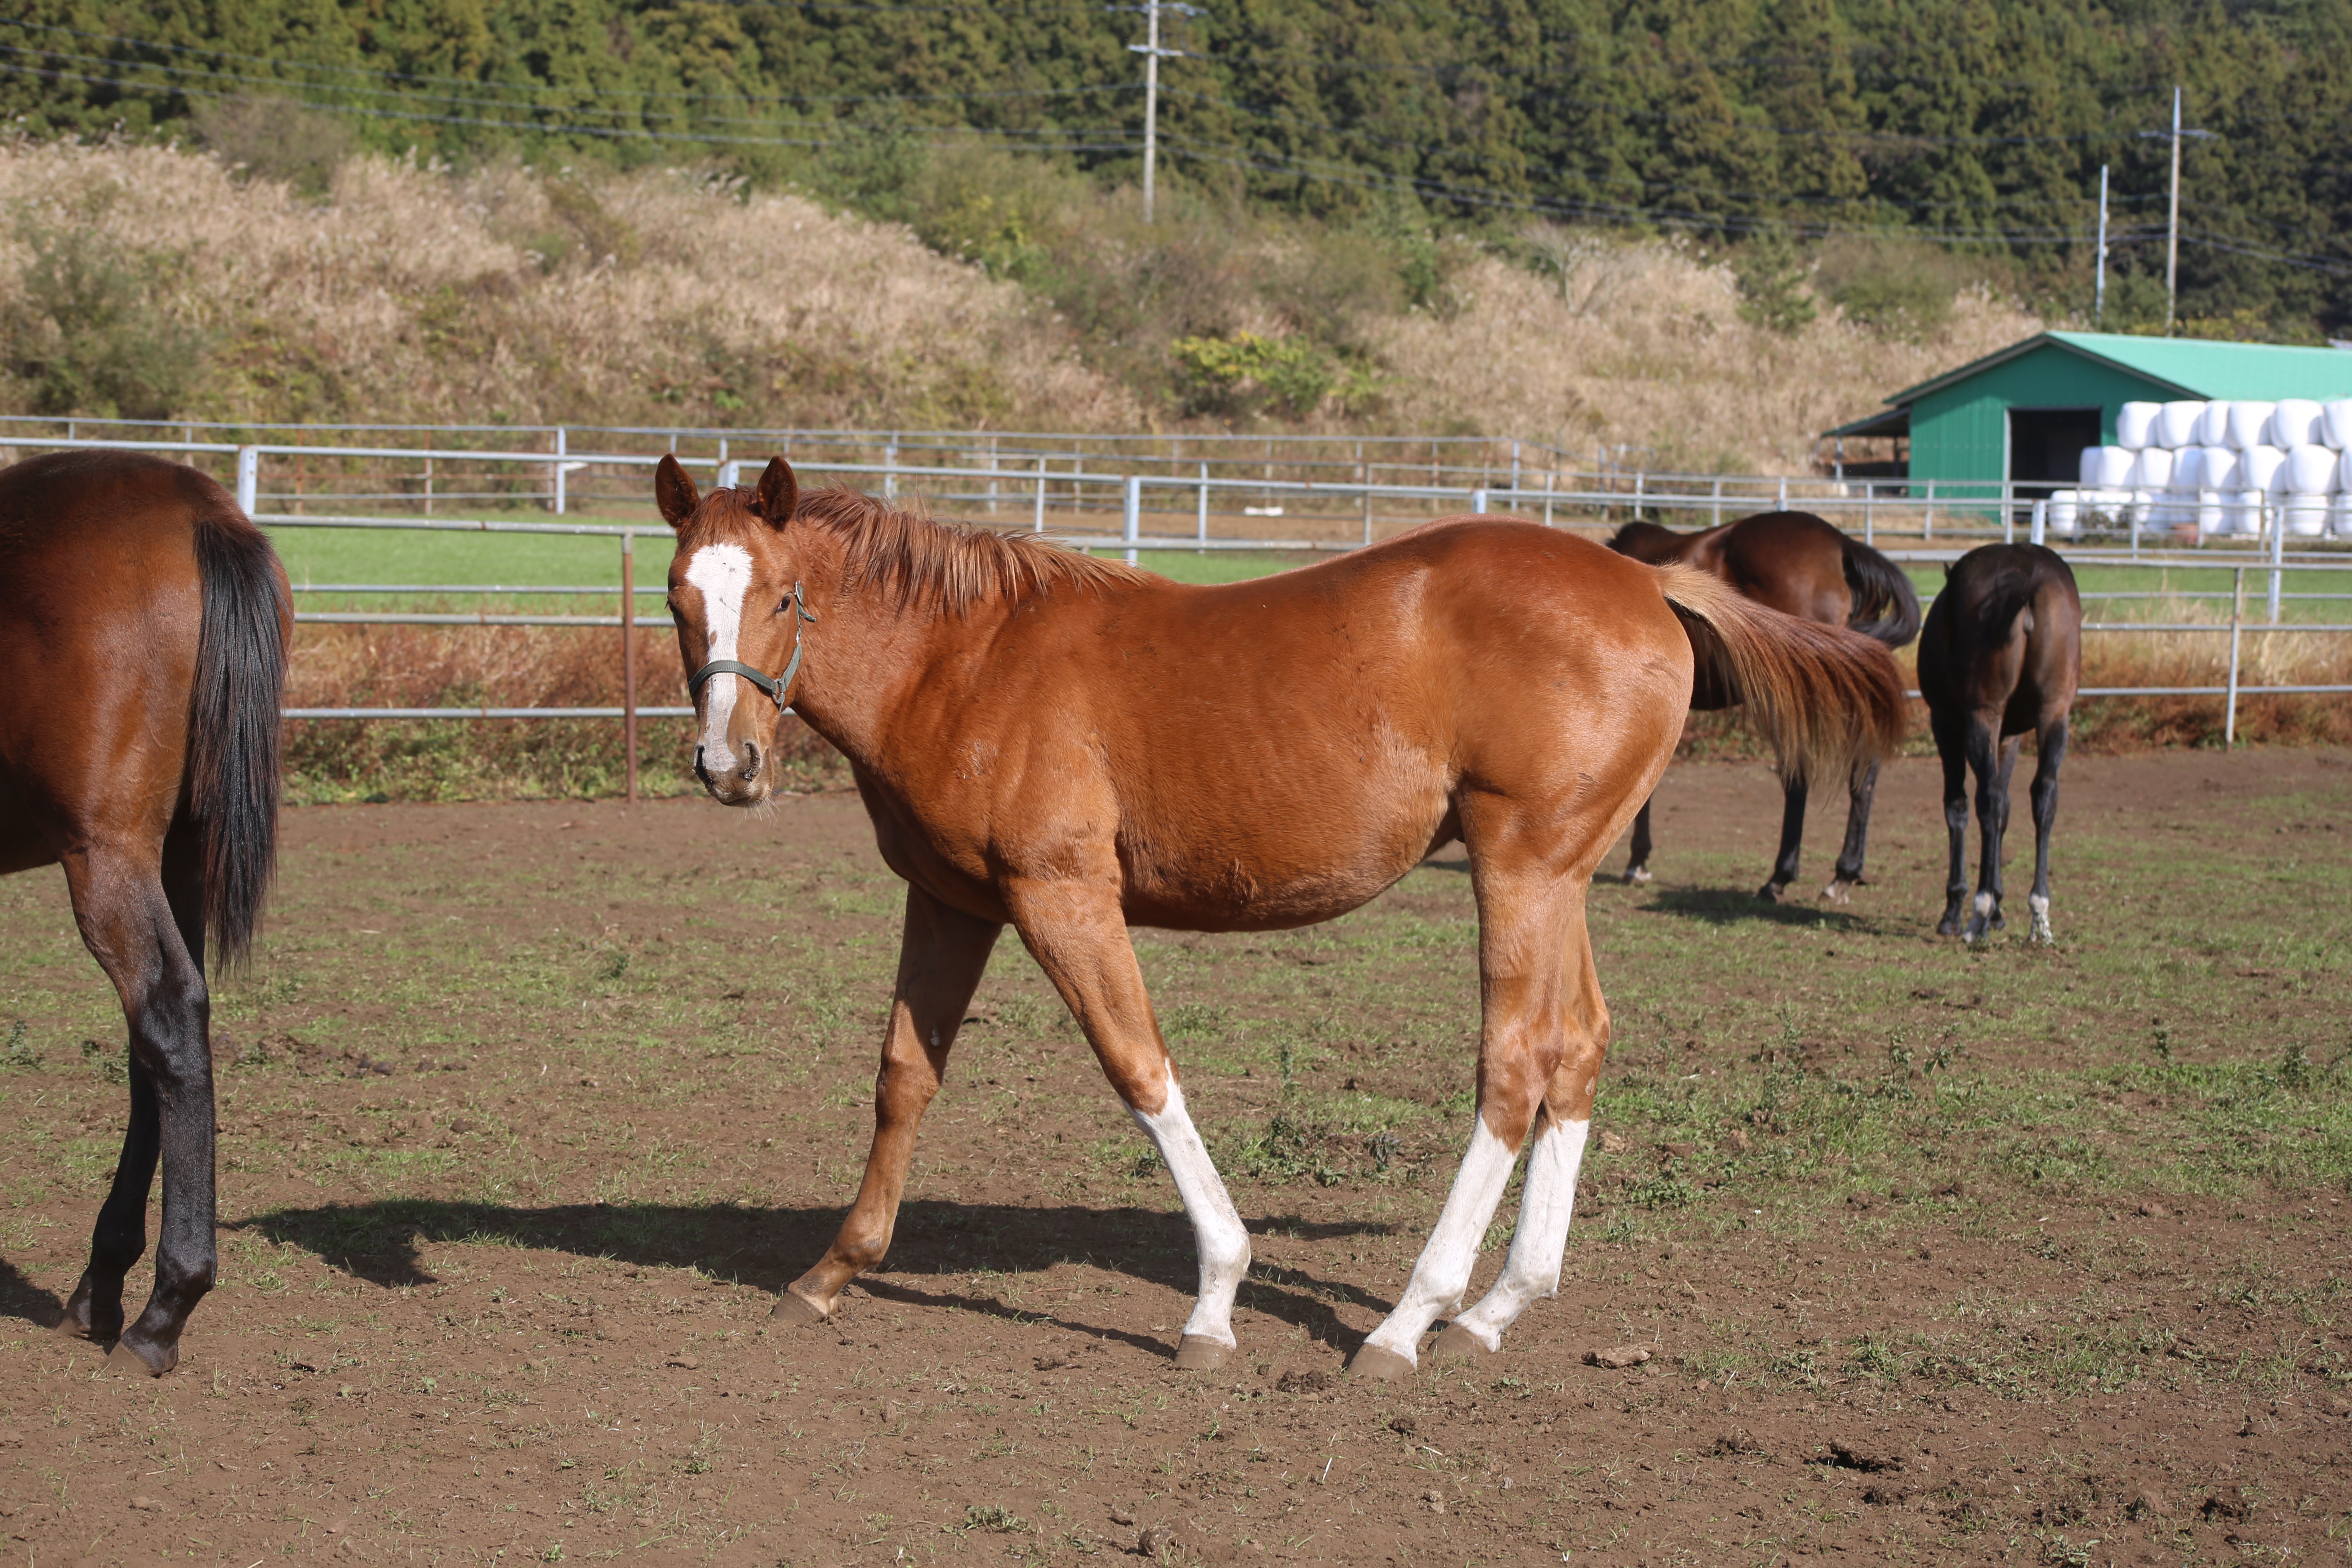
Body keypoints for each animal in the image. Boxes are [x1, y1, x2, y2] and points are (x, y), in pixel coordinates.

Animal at [1608, 512, 1919, 902]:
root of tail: (1840, 546)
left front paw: (1637, 860)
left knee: (1799, 778)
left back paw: (1779, 878)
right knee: (1863, 773)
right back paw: (1843, 874)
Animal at [1919, 543, 2088, 945]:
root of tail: (2027, 580)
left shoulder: (1946, 726)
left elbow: (1959, 808)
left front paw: (1958, 910)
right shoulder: (2011, 737)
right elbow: (2008, 811)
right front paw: (1999, 908)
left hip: (1983, 715)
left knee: (1988, 799)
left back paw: (1977, 913)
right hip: (2055, 712)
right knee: (2044, 794)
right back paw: (2039, 913)